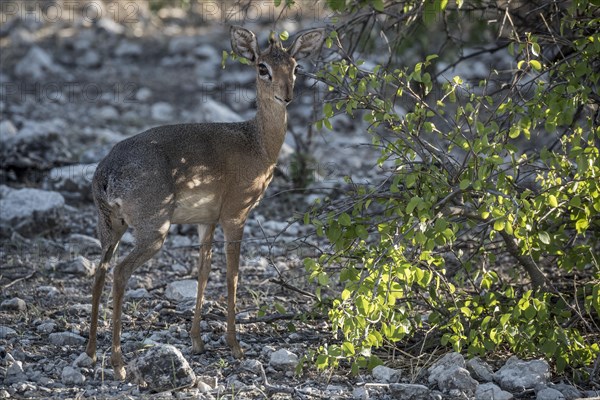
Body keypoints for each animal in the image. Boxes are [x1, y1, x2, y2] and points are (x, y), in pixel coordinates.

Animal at [85, 25, 324, 382]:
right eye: (262, 67)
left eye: (296, 67)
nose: (287, 96)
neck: (257, 145)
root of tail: (107, 172)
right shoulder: (236, 215)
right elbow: (232, 275)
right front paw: (235, 345)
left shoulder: (205, 221)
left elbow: (203, 272)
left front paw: (197, 341)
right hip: (153, 230)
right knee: (120, 272)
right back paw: (118, 364)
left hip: (110, 226)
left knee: (100, 270)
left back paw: (90, 352)